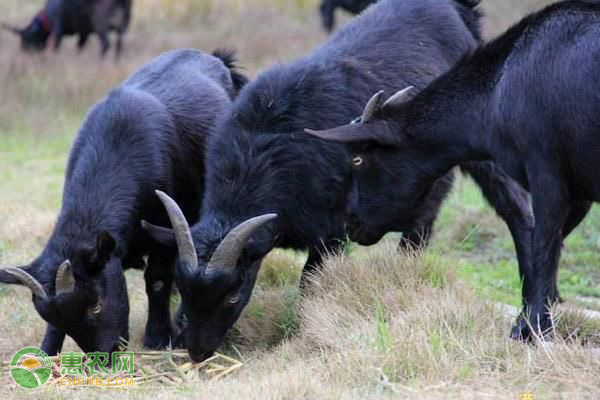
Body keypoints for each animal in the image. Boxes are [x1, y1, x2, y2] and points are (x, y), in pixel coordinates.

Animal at [0, 49, 246, 354]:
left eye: (96, 305)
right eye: (53, 318)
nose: (102, 357)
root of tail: (215, 58)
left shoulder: (163, 227)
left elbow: (157, 280)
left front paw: (157, 337)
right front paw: (46, 351)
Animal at [2, 0, 134, 57]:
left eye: (27, 39)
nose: (25, 53)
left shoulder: (57, 29)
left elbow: (56, 47)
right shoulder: (84, 32)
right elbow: (79, 47)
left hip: (100, 21)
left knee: (106, 44)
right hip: (124, 23)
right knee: (119, 45)